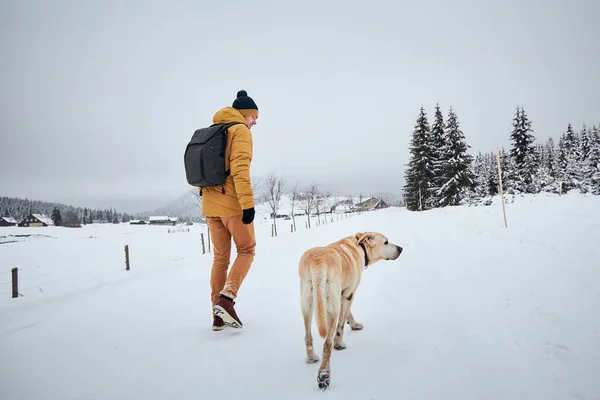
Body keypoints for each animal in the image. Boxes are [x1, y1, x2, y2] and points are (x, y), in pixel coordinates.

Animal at [298, 231, 404, 390]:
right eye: (386, 242)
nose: (401, 249)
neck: (359, 246)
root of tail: (318, 264)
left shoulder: (345, 294)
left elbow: (348, 314)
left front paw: (354, 325)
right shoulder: (348, 294)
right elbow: (341, 326)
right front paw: (339, 344)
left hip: (307, 304)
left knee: (307, 336)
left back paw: (311, 358)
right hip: (332, 306)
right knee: (327, 342)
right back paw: (324, 375)